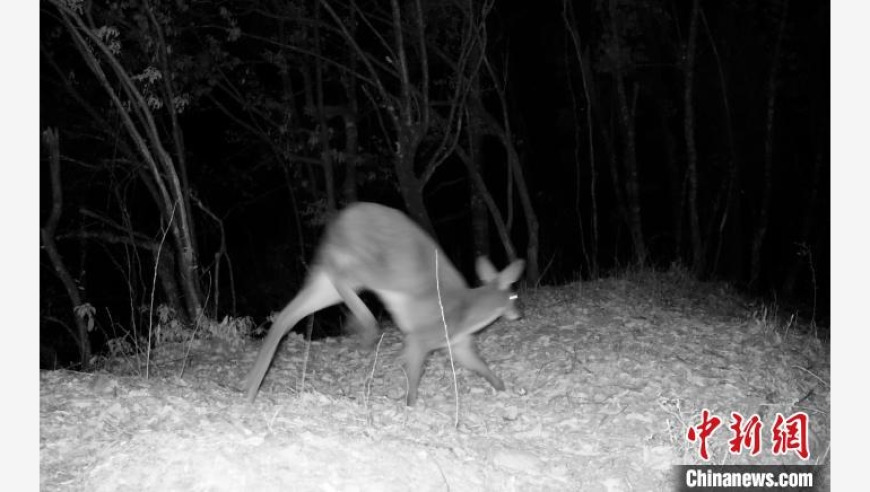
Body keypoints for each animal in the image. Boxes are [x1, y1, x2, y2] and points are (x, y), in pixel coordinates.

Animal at [242, 202, 524, 406]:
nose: (519, 315)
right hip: (381, 268)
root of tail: (342, 218)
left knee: (289, 313)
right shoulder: (422, 337)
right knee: (339, 275)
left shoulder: (458, 344)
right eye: (514, 297)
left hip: (335, 282)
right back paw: (365, 327)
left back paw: (250, 387)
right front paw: (410, 404)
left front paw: (501, 386)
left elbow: (479, 365)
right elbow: (413, 373)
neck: (467, 312)